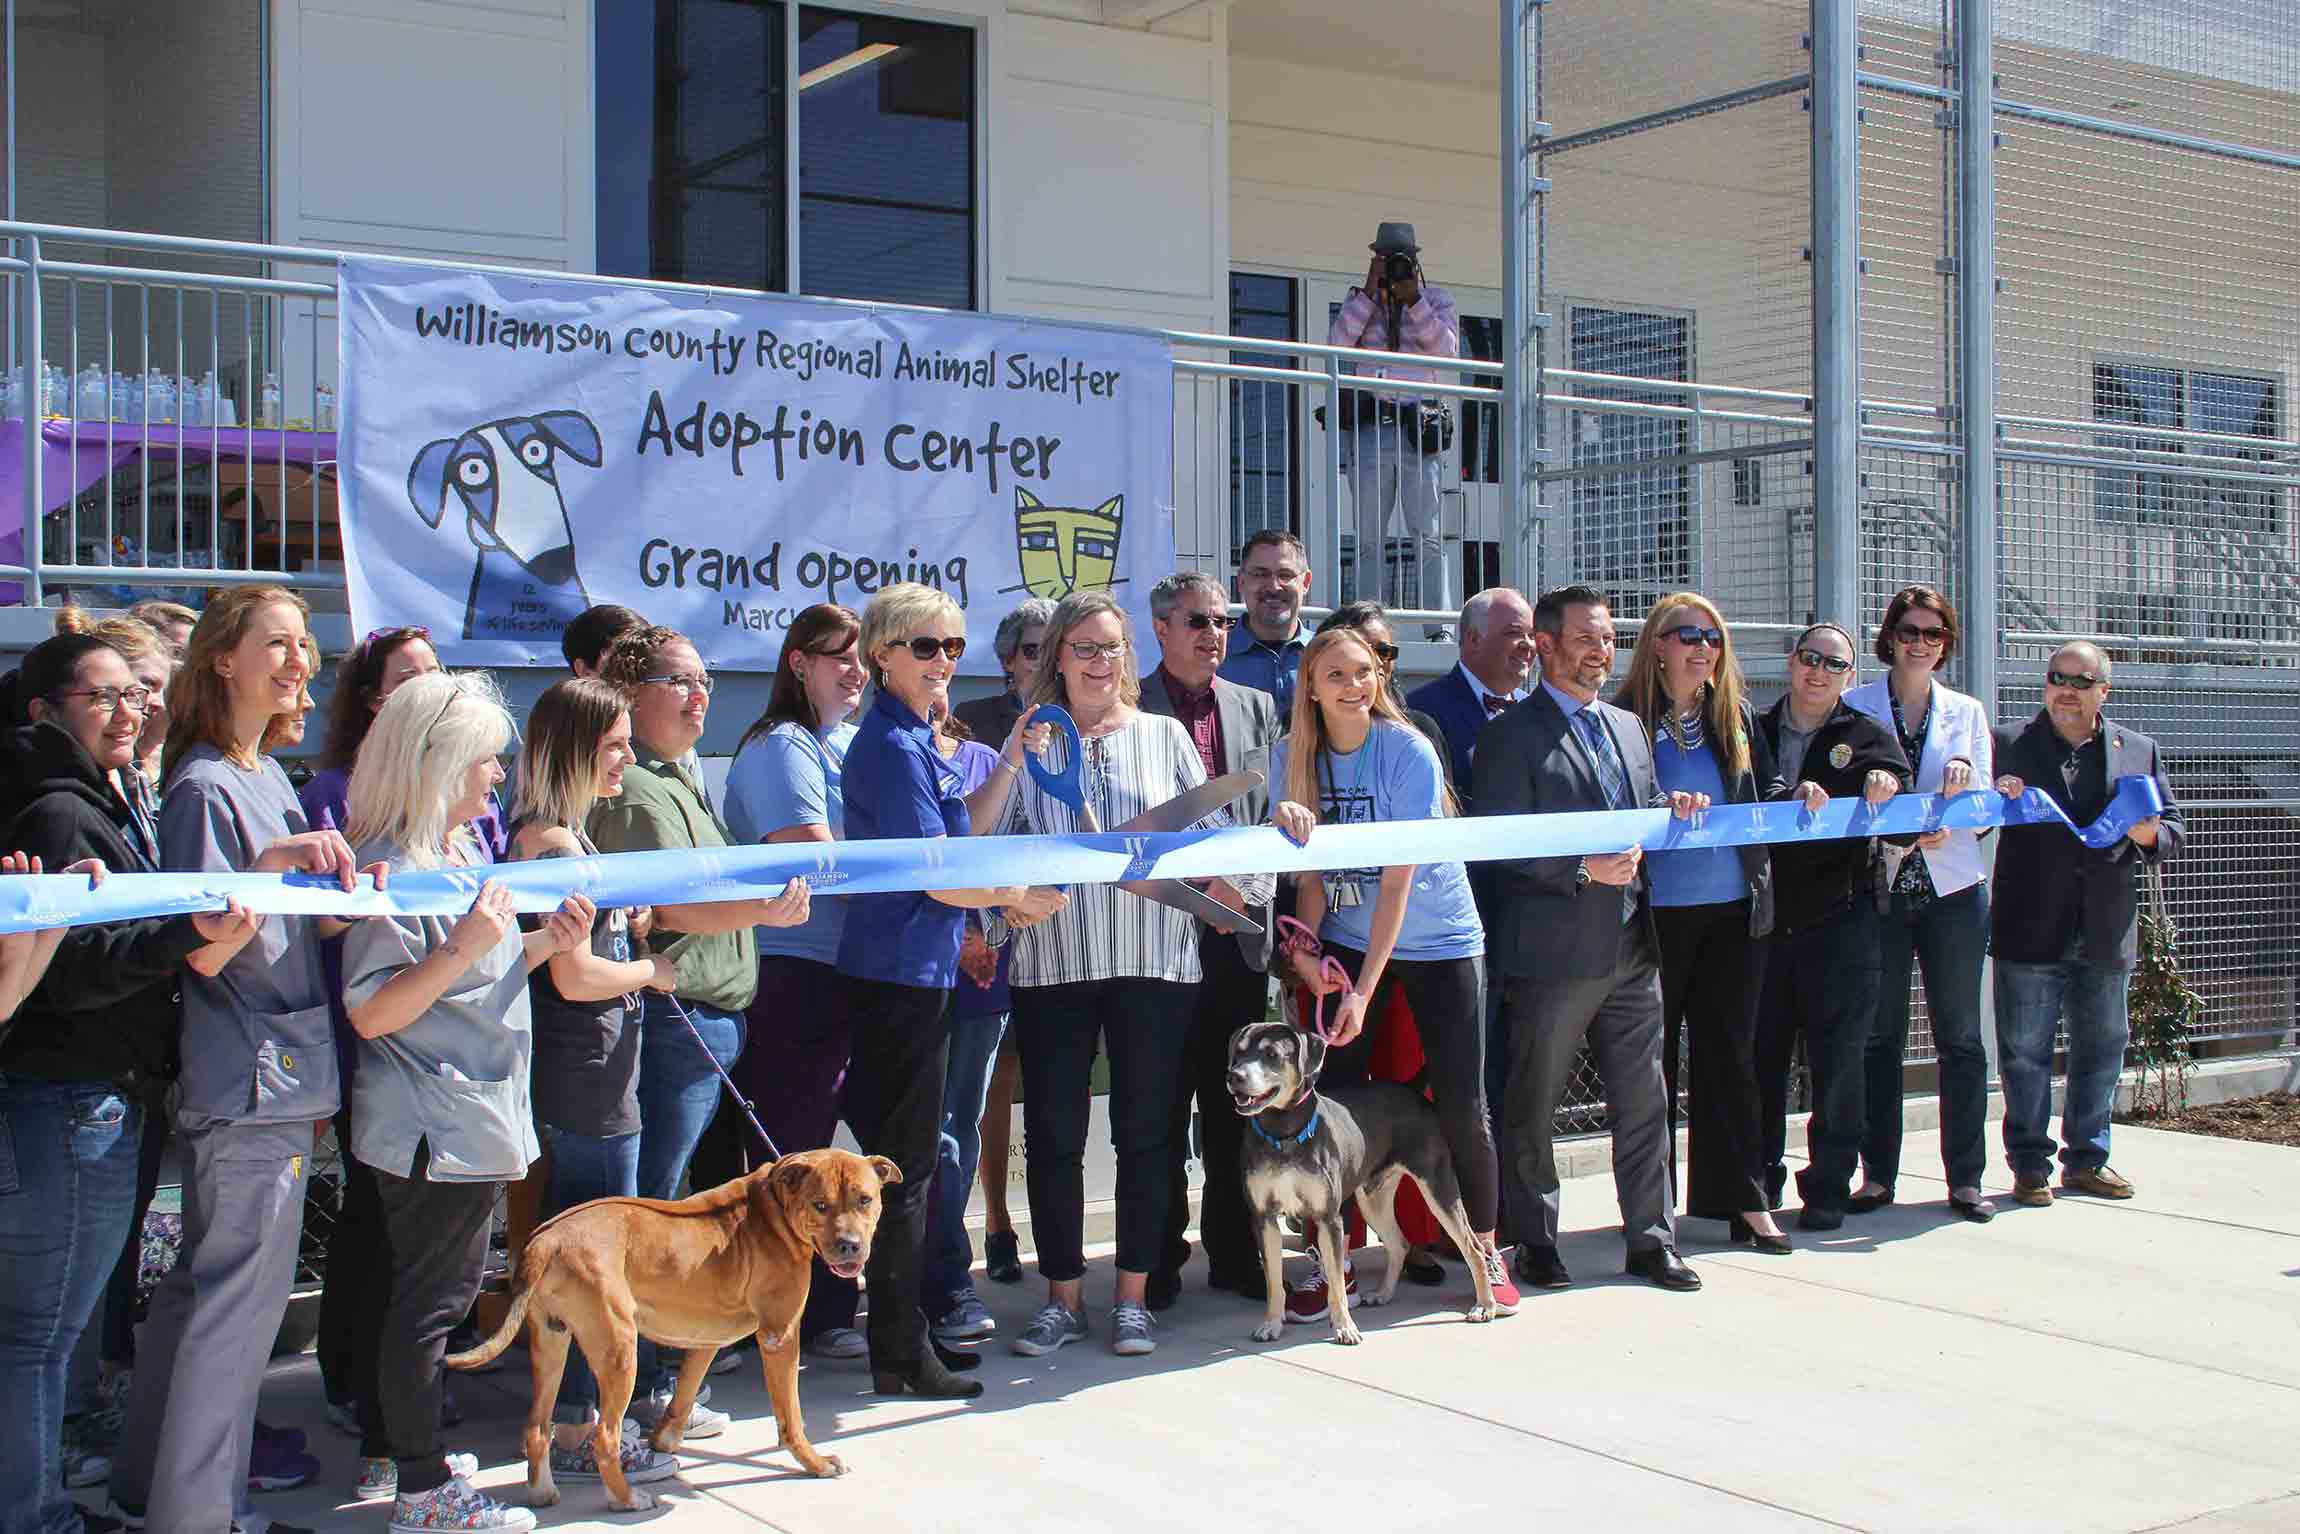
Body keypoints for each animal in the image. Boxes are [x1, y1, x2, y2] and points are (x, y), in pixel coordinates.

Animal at [441, 1149, 897, 1508]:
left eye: (864, 1199)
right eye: (820, 1205)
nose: (851, 1246)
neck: (775, 1210)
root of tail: (546, 1241)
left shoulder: (707, 1336)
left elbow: (686, 1390)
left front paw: (665, 1439)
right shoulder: (780, 1336)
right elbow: (792, 1418)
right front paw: (815, 1463)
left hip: (551, 1342)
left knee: (538, 1427)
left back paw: (542, 1492)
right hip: (619, 1350)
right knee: (604, 1437)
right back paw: (626, 1499)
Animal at [1232, 1030, 1499, 1343]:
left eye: (1272, 1054)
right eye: (1238, 1053)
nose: (1234, 1076)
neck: (1283, 1133)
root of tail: (1410, 1090)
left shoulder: (1329, 1218)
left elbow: (1336, 1282)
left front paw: (1345, 1327)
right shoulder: (1264, 1219)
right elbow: (1273, 1281)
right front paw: (1272, 1324)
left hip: (1438, 1188)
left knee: (1474, 1249)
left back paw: (1485, 1304)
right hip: (1374, 1199)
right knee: (1399, 1243)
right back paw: (1384, 1294)